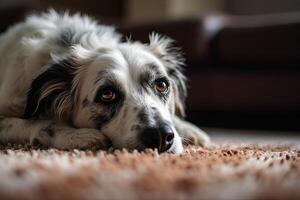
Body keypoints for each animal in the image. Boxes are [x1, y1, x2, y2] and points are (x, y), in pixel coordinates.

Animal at [0, 10, 210, 154]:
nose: (160, 136)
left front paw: (190, 130)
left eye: (162, 85)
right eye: (107, 94)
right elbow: (36, 123)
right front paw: (77, 135)